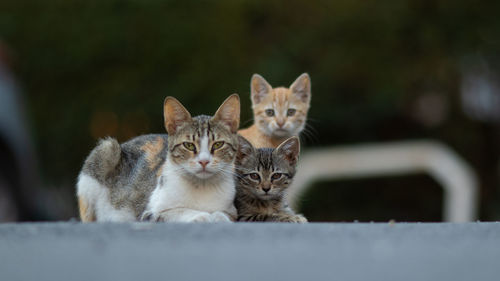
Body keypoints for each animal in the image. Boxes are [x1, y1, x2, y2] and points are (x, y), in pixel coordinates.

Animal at [76, 94, 242, 221]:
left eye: (218, 144)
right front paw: (202, 216)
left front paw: (218, 217)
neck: (202, 187)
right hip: (105, 151)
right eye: (189, 145)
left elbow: (224, 215)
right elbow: (180, 211)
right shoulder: (149, 213)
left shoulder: (233, 211)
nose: (204, 161)